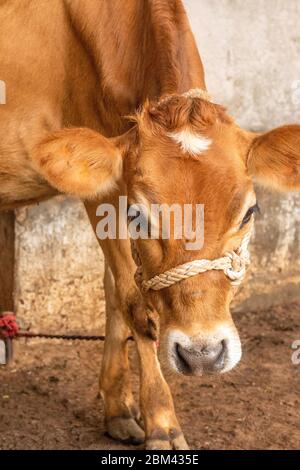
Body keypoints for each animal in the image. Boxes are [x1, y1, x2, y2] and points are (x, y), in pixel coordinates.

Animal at [0, 0, 300, 450]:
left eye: (250, 212)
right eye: (140, 216)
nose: (202, 354)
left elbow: (112, 290)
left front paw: (118, 408)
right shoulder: (104, 191)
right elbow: (134, 303)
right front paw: (162, 424)